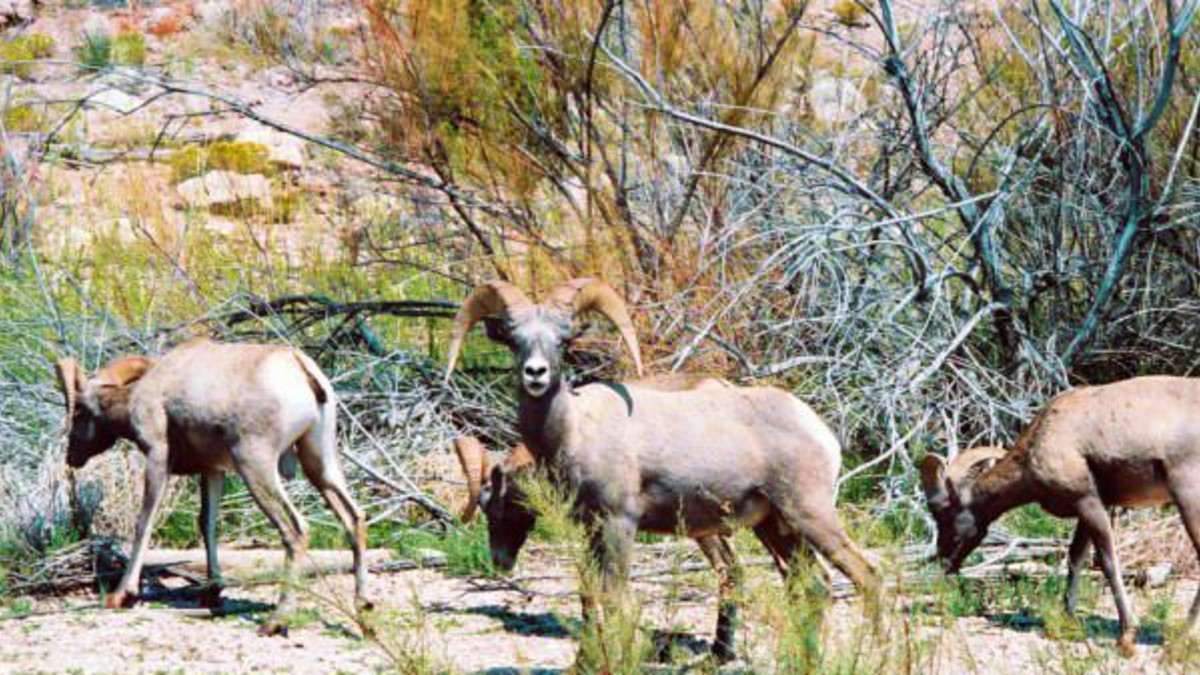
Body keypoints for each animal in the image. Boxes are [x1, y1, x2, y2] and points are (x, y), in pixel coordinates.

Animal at [58, 338, 367, 634]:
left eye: (80, 412)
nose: (71, 457)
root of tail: (300, 367)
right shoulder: (212, 471)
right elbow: (207, 524)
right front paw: (212, 594)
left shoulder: (158, 457)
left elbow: (144, 523)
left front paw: (122, 595)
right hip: (320, 463)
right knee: (354, 517)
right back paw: (364, 612)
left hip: (256, 467)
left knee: (296, 529)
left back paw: (274, 623)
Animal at [446, 276, 878, 653]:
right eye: (514, 341)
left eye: (562, 341)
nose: (535, 374)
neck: (574, 431)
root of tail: (818, 429)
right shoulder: (590, 528)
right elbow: (590, 596)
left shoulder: (619, 524)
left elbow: (614, 598)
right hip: (777, 527)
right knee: (815, 588)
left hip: (810, 516)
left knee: (867, 578)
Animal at [921, 372, 1200, 653]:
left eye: (941, 510)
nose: (944, 561)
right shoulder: (1089, 508)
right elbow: (1075, 558)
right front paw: (1067, 621)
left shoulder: (1088, 503)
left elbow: (1108, 563)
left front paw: (1127, 636)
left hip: (1188, 498)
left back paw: (1180, 638)